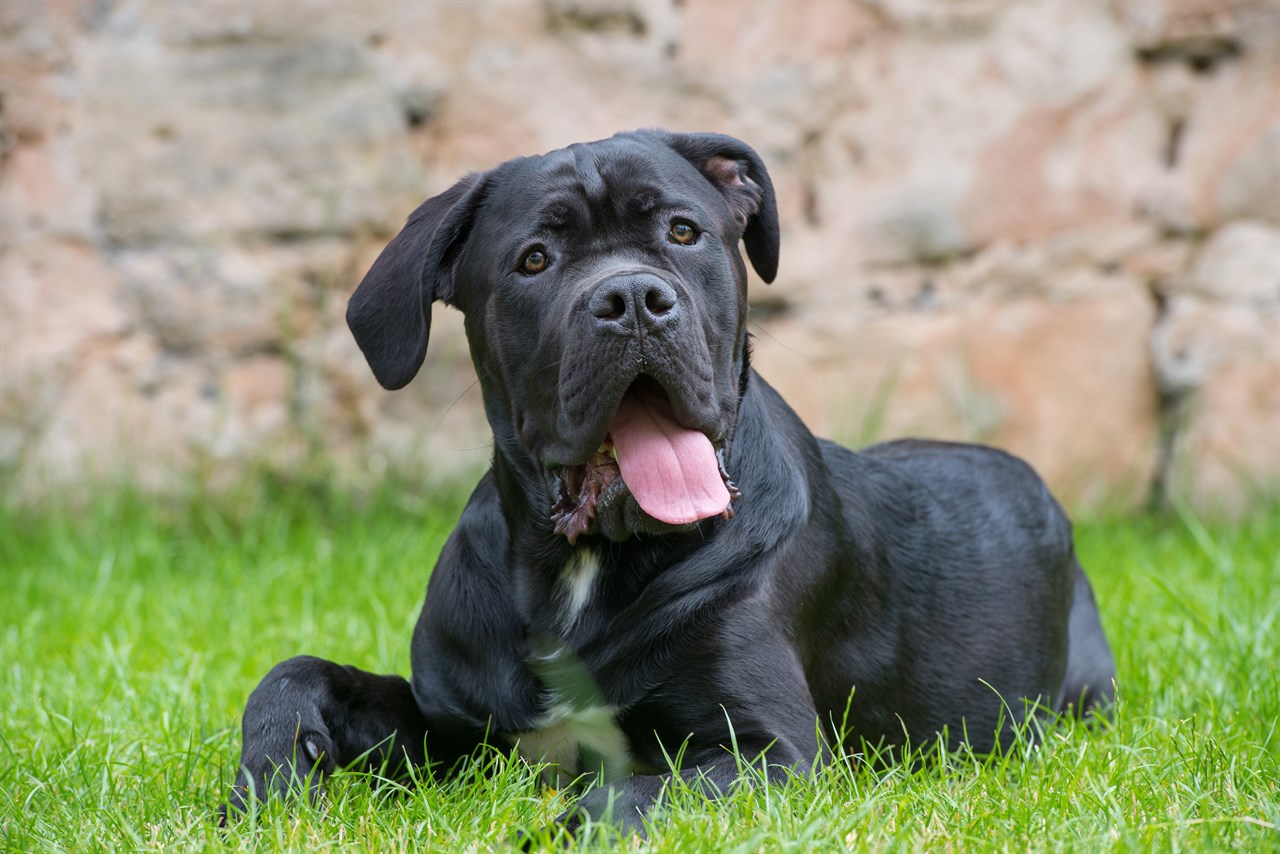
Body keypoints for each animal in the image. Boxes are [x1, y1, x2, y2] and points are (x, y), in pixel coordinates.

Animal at [225, 128, 1116, 834]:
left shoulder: (768, 752)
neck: (582, 568)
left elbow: (619, 797)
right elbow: (297, 672)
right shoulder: (455, 731)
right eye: (535, 259)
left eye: (683, 231)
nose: (631, 297)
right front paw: (272, 777)